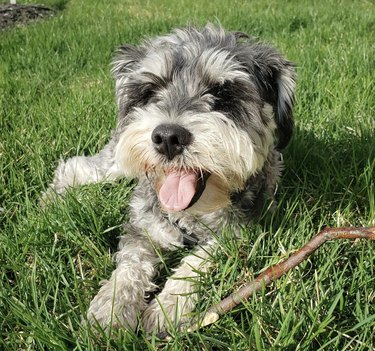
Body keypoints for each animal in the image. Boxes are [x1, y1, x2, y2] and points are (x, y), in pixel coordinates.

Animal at [43, 24, 296, 332]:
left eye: (223, 94)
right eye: (150, 91)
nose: (168, 137)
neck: (190, 214)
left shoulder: (238, 231)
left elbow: (197, 261)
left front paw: (166, 307)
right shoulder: (144, 227)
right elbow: (129, 266)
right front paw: (110, 310)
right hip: (117, 161)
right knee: (75, 166)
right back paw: (52, 200)